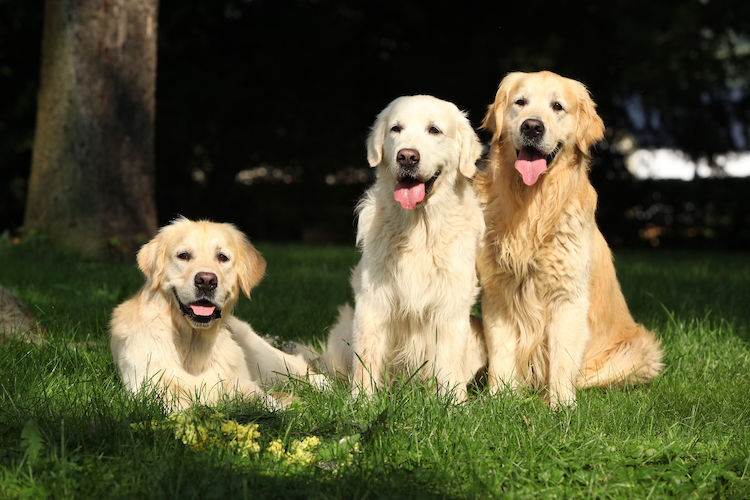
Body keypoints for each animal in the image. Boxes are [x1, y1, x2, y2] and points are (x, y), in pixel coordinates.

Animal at [111, 218, 324, 410]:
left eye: (222, 257)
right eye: (183, 255)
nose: (206, 280)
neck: (193, 345)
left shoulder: (244, 385)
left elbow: (268, 403)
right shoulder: (146, 388)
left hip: (270, 362)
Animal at [320, 95, 490, 400]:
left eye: (434, 130)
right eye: (396, 129)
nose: (407, 156)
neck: (418, 228)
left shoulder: (451, 304)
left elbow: (448, 361)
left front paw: (453, 402)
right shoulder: (372, 300)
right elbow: (367, 356)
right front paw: (362, 400)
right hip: (342, 329)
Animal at [478, 72, 668, 408]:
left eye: (557, 106)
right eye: (520, 102)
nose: (532, 126)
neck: (533, 205)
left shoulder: (567, 297)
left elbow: (563, 358)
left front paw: (561, 405)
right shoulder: (498, 292)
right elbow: (502, 352)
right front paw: (500, 399)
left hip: (642, 351)